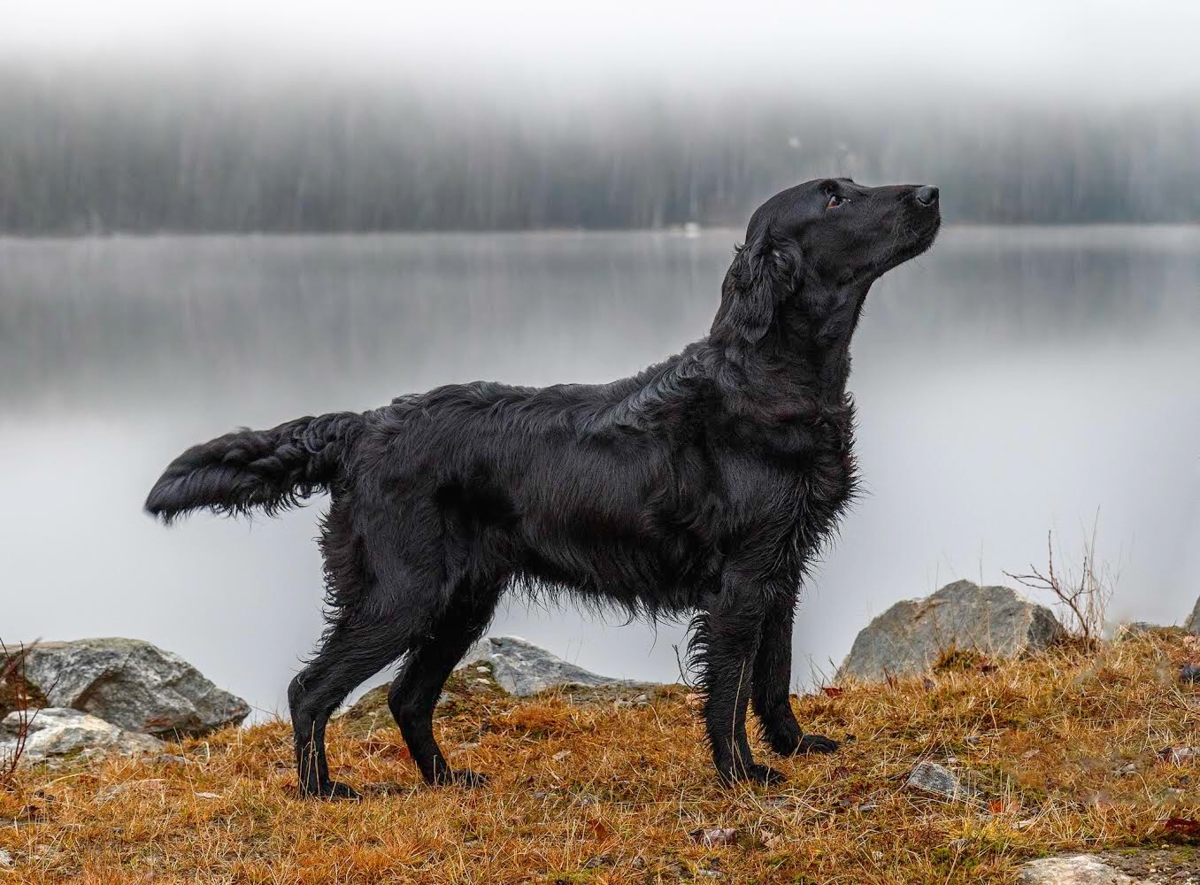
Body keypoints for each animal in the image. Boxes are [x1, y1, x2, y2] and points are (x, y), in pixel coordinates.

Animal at [145, 177, 940, 791]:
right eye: (835, 197)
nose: (931, 193)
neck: (769, 378)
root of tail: (364, 425)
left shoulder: (784, 564)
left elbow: (773, 675)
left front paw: (796, 744)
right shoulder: (742, 579)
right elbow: (730, 688)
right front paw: (741, 774)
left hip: (462, 599)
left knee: (406, 696)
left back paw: (446, 779)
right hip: (404, 593)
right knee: (311, 689)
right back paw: (324, 791)